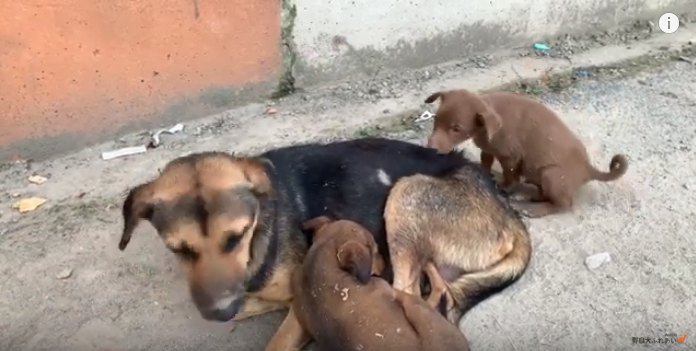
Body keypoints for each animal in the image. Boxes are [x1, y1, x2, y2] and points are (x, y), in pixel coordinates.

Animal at [426, 89, 628, 217]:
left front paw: (505, 187)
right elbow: (485, 162)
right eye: (436, 119)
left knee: (563, 204)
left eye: (456, 129)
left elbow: (510, 176)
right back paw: (531, 197)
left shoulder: (510, 156)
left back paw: (532, 209)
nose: (431, 148)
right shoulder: (489, 149)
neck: (485, 128)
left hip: (552, 175)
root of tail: (588, 169)